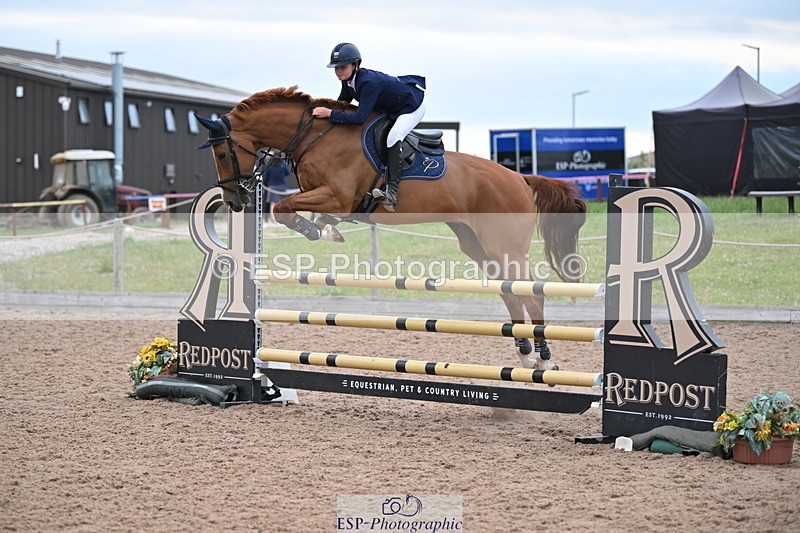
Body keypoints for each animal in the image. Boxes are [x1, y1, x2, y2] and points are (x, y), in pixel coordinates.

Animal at [196, 86, 587, 371]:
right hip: (476, 244)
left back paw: (543, 359)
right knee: (510, 293)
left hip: (504, 246)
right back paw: (523, 353)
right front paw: (326, 229)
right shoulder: (327, 198)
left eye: (223, 154)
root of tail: (520, 178)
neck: (314, 135)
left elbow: (282, 207)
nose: (233, 200)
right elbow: (291, 209)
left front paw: (316, 230)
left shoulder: (337, 197)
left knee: (531, 294)